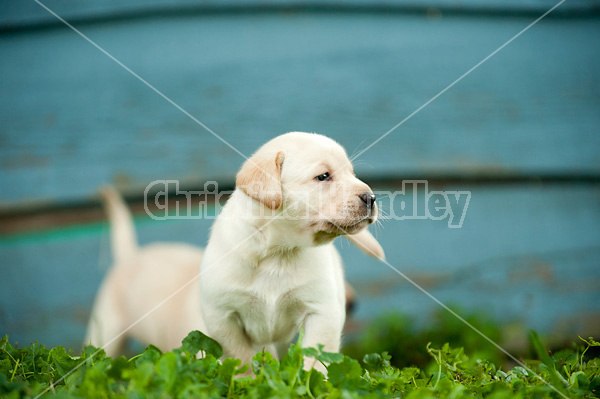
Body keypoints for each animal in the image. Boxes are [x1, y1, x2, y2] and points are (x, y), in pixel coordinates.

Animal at [84, 133, 382, 374]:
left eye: (352, 173)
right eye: (323, 176)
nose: (371, 198)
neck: (278, 252)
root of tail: (130, 256)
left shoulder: (322, 312)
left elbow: (315, 360)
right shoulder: (222, 319)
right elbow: (242, 359)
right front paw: (248, 383)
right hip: (105, 331)